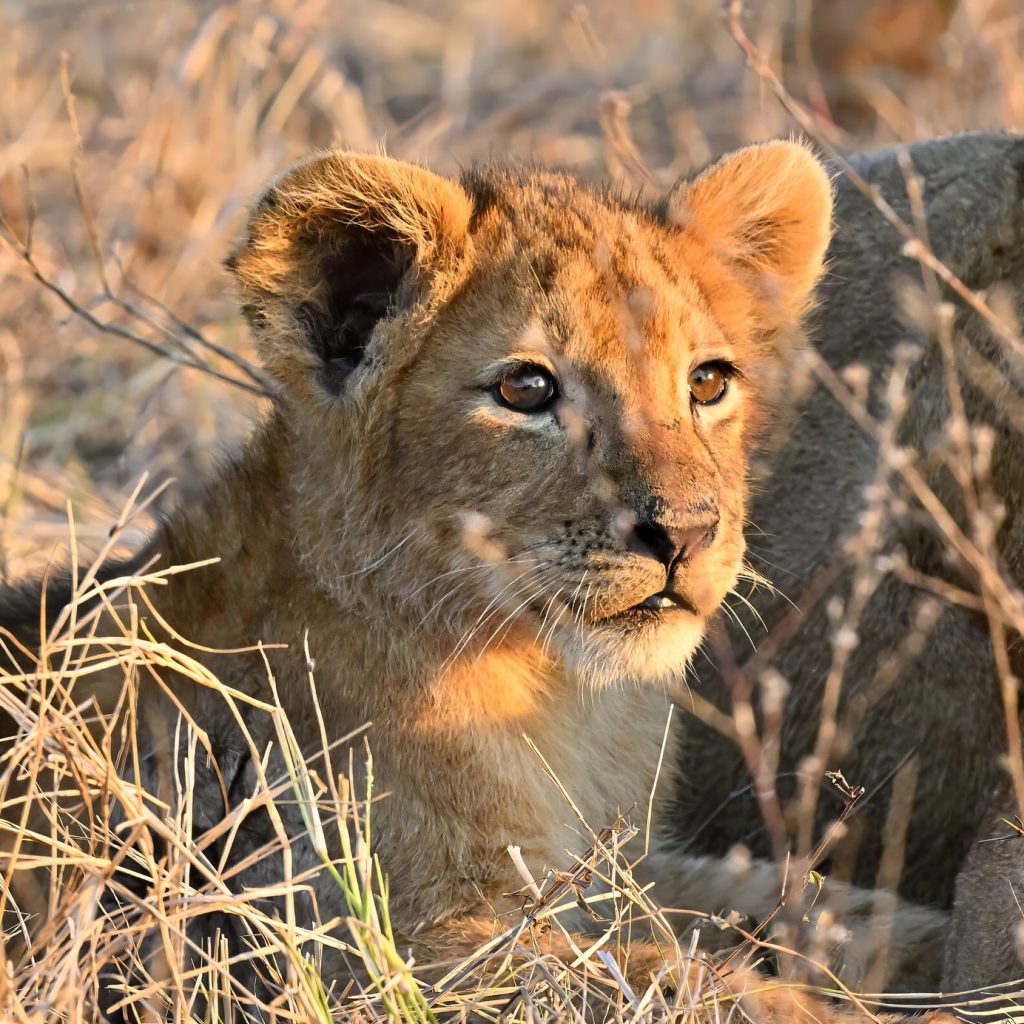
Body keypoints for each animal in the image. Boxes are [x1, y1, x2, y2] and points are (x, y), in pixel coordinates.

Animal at [0, 140, 958, 1021]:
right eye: (526, 389)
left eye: (709, 381)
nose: (686, 533)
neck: (559, 692)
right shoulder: (379, 946)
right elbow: (673, 978)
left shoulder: (610, 871)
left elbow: (760, 897)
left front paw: (937, 944)